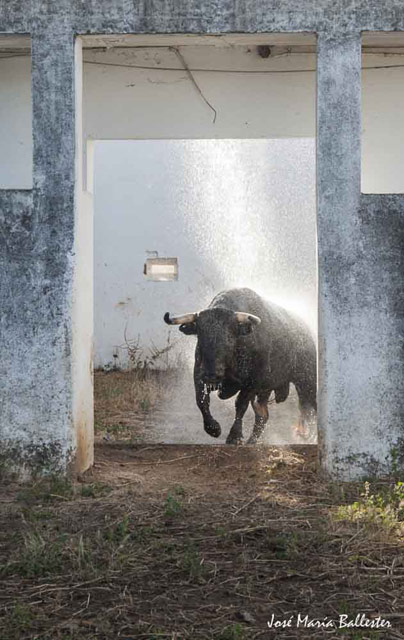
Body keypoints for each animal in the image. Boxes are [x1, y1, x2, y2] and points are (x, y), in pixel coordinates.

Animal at [164, 288, 316, 442]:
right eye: (200, 337)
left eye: (229, 339)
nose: (212, 375)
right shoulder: (199, 374)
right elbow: (201, 400)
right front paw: (213, 428)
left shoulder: (252, 383)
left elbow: (240, 404)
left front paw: (234, 436)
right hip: (266, 390)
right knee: (263, 415)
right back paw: (251, 441)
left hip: (306, 381)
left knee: (309, 408)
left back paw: (310, 436)